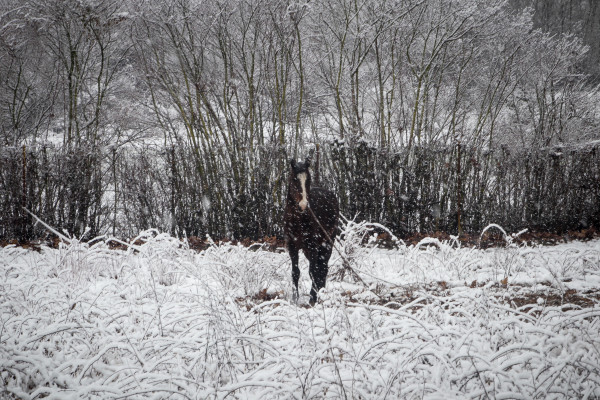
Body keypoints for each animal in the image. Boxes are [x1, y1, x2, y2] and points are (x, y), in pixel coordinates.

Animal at [284, 155, 340, 304]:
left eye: (308, 180)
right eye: (295, 179)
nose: (303, 205)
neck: (299, 220)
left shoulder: (313, 245)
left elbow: (312, 271)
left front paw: (312, 298)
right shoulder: (292, 246)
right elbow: (295, 272)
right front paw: (295, 299)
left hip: (327, 242)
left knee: (323, 267)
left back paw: (321, 292)